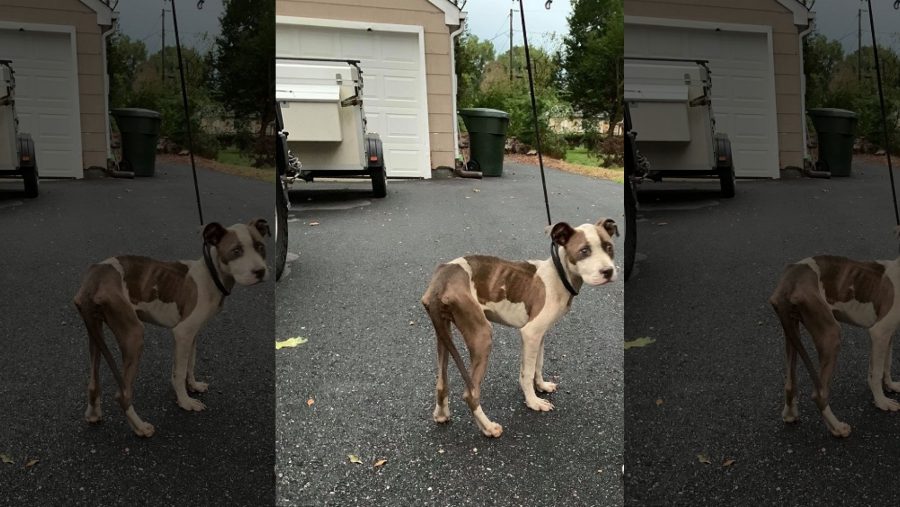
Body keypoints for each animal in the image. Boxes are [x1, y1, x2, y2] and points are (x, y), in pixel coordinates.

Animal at [72, 220, 268, 438]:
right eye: (236, 251)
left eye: (260, 247)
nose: (260, 272)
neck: (211, 275)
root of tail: (93, 281)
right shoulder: (183, 332)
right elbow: (180, 371)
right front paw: (185, 402)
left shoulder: (192, 333)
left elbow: (190, 363)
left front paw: (193, 386)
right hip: (134, 335)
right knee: (122, 394)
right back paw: (140, 427)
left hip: (95, 332)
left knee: (93, 382)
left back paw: (93, 414)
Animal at [422, 220, 620, 438]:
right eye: (584, 251)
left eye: (608, 247)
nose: (608, 271)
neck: (559, 275)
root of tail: (441, 281)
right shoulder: (531, 332)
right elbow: (527, 372)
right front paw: (533, 402)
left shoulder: (540, 335)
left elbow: (537, 365)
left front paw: (541, 386)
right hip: (482, 335)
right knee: (470, 393)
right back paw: (488, 427)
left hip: (443, 333)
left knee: (441, 382)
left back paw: (441, 414)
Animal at [768, 256, 900, 438]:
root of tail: (788, 282)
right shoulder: (879, 332)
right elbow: (877, 372)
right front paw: (881, 402)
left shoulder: (888, 333)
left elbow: (886, 364)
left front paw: (890, 386)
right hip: (830, 334)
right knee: (819, 393)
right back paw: (837, 427)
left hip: (791, 330)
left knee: (789, 383)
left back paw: (789, 414)